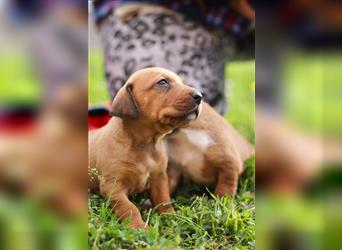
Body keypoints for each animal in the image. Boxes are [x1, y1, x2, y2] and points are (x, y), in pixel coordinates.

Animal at [88, 67, 204, 228]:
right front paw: (139, 226)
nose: (200, 96)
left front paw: (171, 218)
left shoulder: (159, 180)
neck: (146, 144)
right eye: (162, 82)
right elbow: (129, 207)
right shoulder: (112, 187)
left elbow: (164, 200)